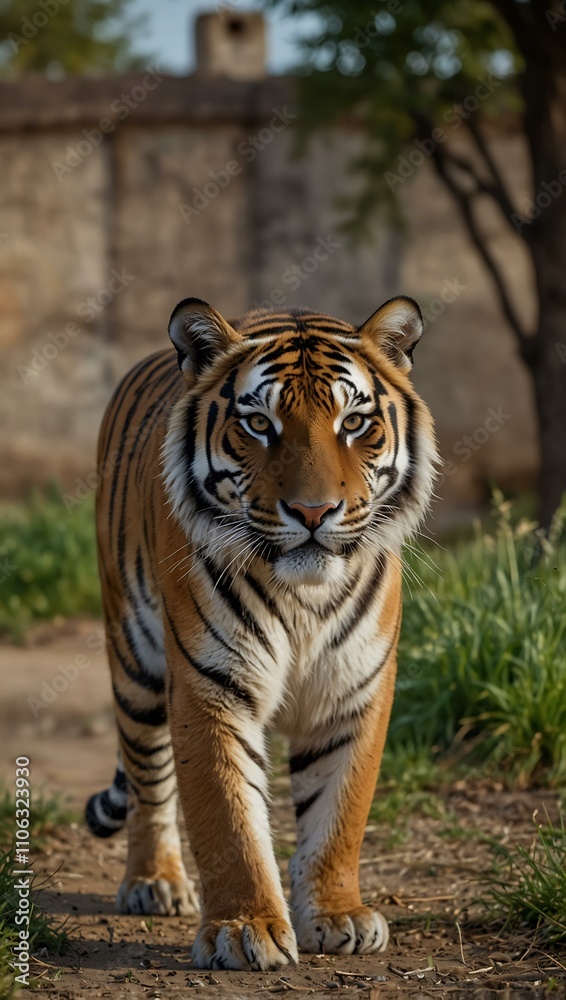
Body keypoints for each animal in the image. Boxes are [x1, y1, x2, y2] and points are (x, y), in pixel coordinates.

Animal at [85, 295, 437, 971]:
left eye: (354, 422)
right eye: (258, 424)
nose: (313, 512)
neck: (305, 597)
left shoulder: (353, 692)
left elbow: (339, 814)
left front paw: (338, 915)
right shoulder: (209, 687)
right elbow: (228, 817)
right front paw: (245, 930)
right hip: (134, 661)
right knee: (147, 780)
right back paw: (154, 881)